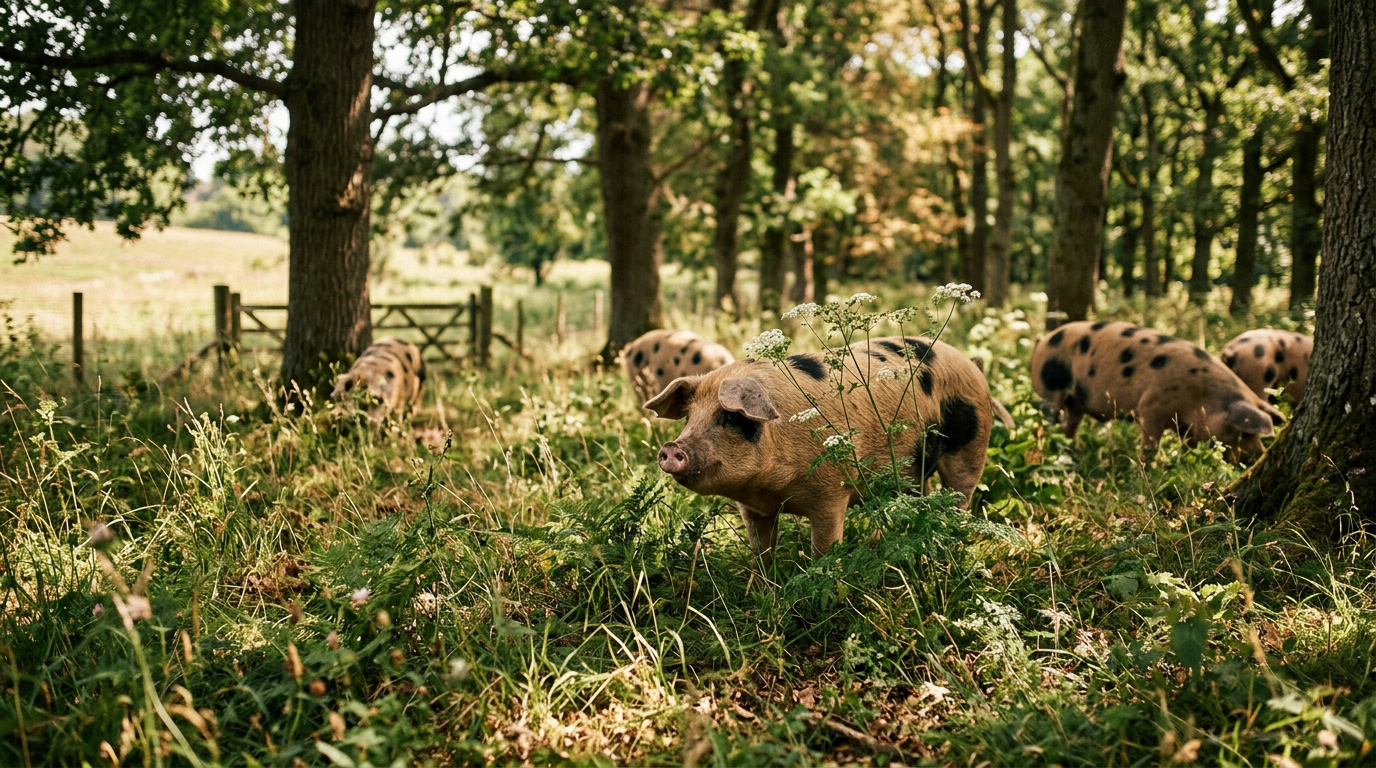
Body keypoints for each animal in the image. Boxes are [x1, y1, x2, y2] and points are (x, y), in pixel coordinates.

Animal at [645, 336, 995, 557]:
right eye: (689, 417)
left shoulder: (831, 493)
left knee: (960, 496)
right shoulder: (752, 508)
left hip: (971, 448)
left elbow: (824, 548)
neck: (772, 489)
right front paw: (763, 586)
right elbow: (761, 549)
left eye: (731, 416)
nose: (672, 447)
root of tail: (973, 365)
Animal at [1031, 321, 1284, 461]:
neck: (1203, 396)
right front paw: (1150, 464)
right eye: (1243, 433)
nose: (1258, 456)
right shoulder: (1151, 407)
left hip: (1075, 402)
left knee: (1071, 424)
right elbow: (1151, 442)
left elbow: (1187, 444)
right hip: (1049, 390)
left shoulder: (1186, 426)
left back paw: (1075, 449)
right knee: (1049, 418)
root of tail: (1042, 340)